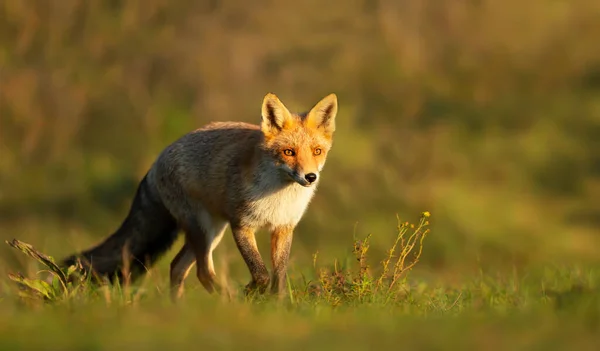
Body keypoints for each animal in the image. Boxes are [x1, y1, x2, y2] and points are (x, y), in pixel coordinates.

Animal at [58, 93, 340, 300]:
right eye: (288, 152)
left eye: (317, 151)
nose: (310, 177)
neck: (278, 196)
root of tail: (157, 161)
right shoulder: (241, 225)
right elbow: (261, 274)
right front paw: (251, 292)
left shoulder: (283, 227)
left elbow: (278, 277)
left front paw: (277, 306)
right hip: (204, 229)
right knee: (202, 272)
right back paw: (229, 301)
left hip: (211, 232)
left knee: (177, 267)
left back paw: (178, 310)